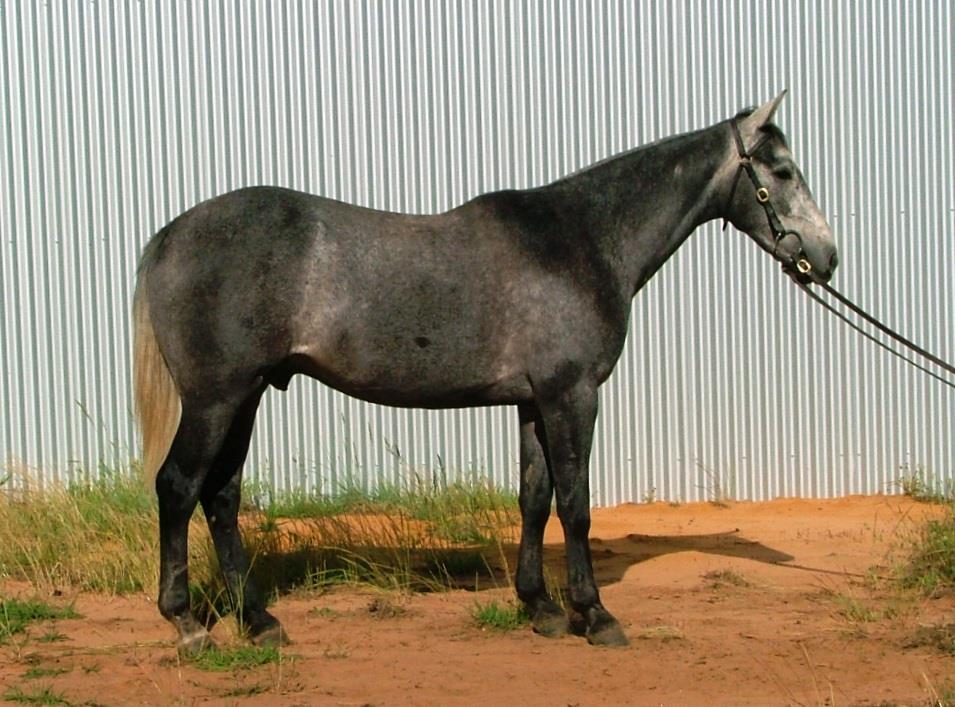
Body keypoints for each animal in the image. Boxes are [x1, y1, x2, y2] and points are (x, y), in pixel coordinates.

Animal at [133, 92, 838, 653]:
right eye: (781, 170)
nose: (825, 258)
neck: (581, 241)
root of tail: (170, 235)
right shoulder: (572, 395)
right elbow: (576, 504)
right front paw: (594, 615)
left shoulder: (533, 401)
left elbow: (534, 498)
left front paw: (541, 606)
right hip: (217, 398)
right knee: (179, 487)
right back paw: (187, 625)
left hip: (247, 395)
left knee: (221, 496)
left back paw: (258, 621)